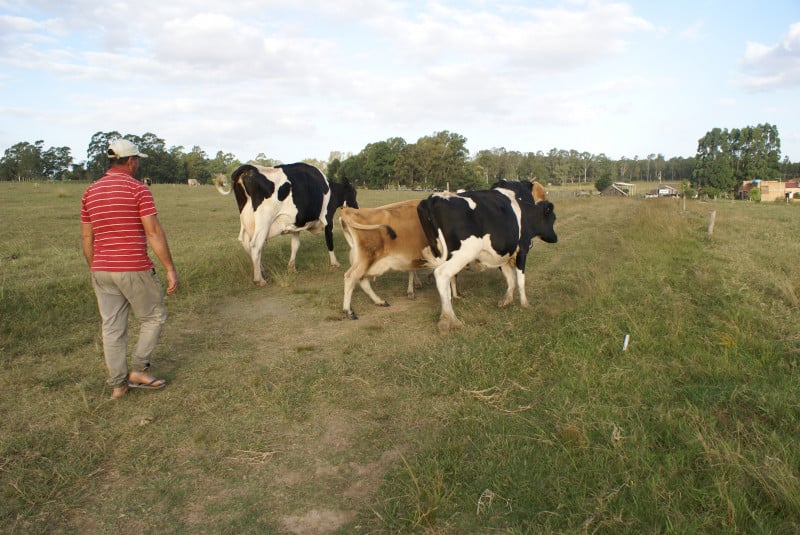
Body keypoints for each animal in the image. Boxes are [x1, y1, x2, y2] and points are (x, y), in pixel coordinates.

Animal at [217, 163, 358, 286]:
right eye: (353, 192)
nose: (357, 208)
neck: (330, 189)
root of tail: (250, 168)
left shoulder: (296, 224)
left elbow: (295, 245)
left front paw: (291, 267)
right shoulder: (327, 218)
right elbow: (329, 241)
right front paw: (335, 263)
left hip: (246, 222)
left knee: (246, 244)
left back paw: (261, 270)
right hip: (264, 221)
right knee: (256, 245)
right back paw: (259, 279)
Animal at [418, 184, 556, 336]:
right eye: (553, 218)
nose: (555, 238)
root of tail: (434, 198)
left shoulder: (501, 255)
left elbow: (510, 278)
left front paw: (507, 300)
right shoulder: (522, 250)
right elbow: (520, 279)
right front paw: (525, 303)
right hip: (465, 252)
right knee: (442, 274)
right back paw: (450, 320)